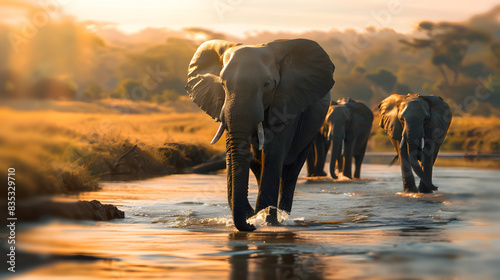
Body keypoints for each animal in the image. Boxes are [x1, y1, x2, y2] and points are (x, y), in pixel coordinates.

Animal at [186, 39, 334, 232]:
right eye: (222, 84)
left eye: (267, 84)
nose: (250, 225)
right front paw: (257, 218)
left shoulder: (288, 100)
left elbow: (273, 154)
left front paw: (266, 222)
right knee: (258, 167)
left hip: (311, 129)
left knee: (290, 171)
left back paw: (280, 217)